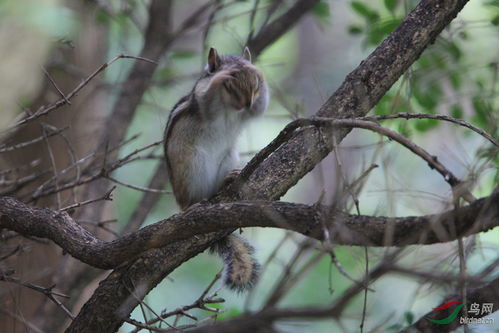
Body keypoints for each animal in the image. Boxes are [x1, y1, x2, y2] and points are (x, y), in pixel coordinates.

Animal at [164, 46, 270, 290]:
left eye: (255, 88)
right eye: (230, 86)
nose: (246, 104)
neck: (230, 109)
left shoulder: (251, 111)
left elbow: (261, 109)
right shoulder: (203, 104)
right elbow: (206, 101)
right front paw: (221, 76)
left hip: (229, 156)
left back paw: (229, 180)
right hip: (194, 164)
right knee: (189, 202)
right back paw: (192, 206)